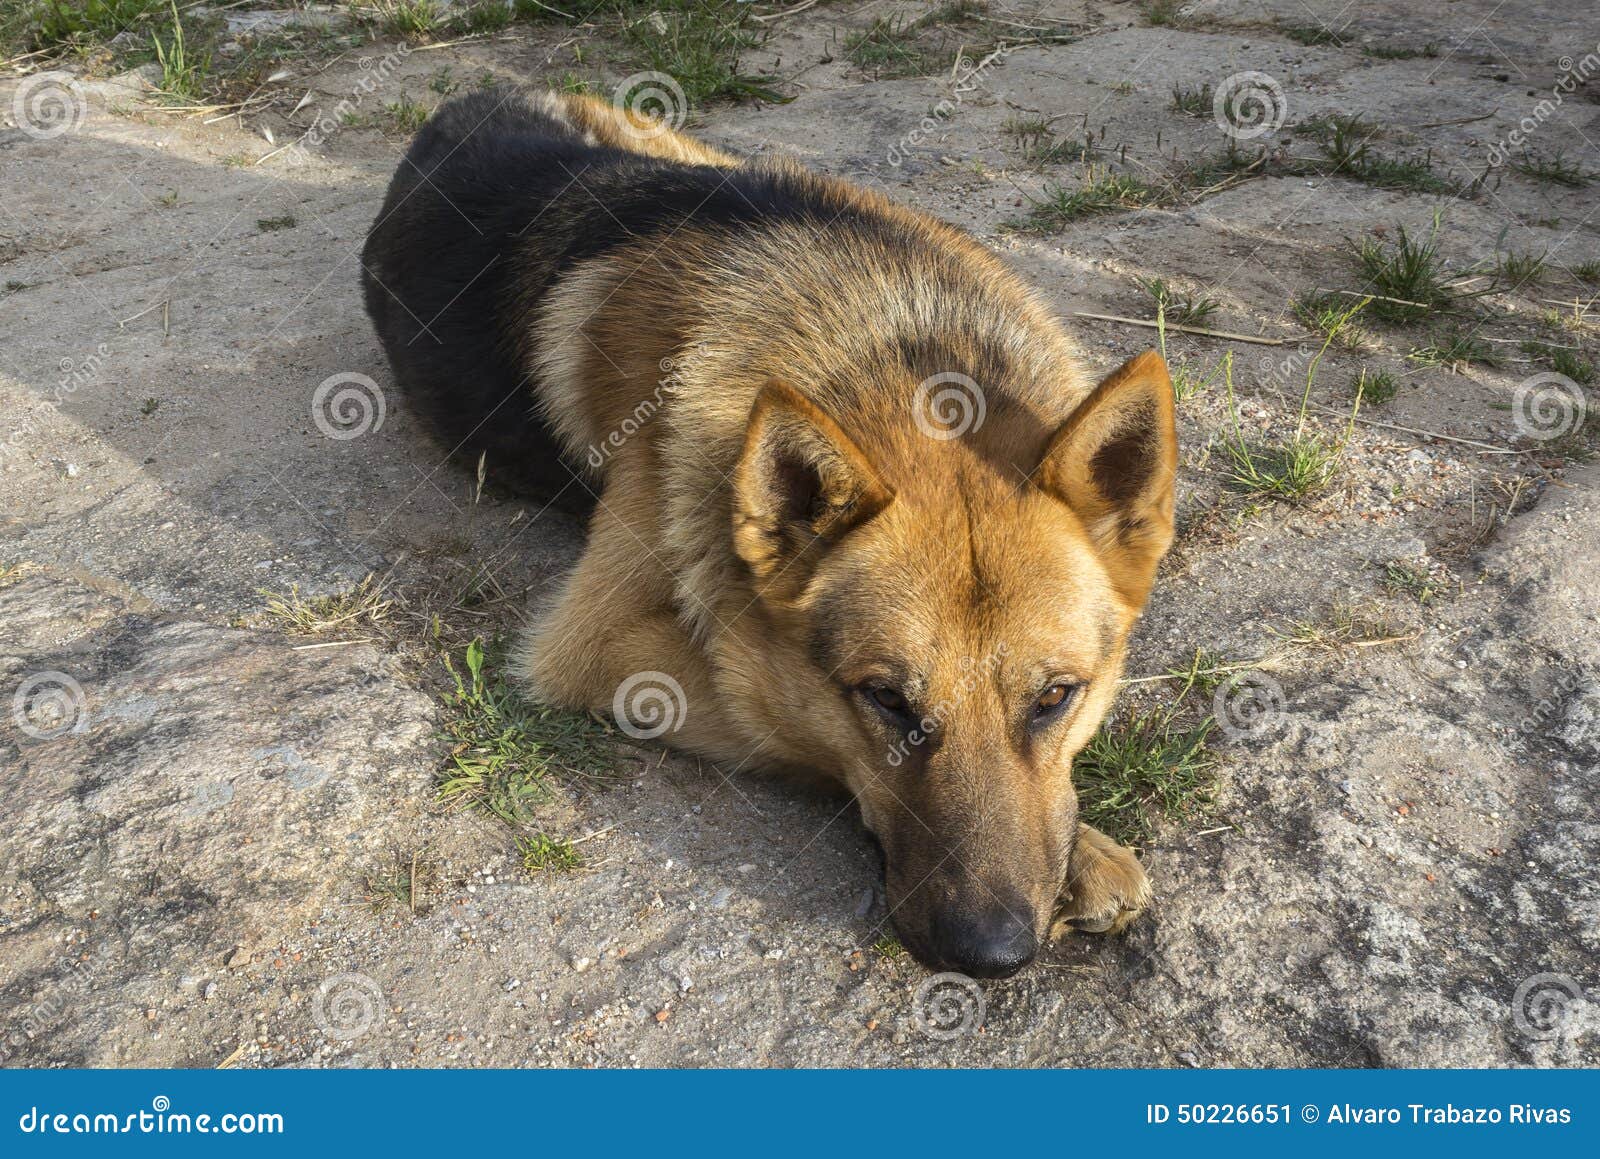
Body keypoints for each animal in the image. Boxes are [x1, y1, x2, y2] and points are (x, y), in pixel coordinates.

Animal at [368, 92, 1184, 979]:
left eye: (1054, 697)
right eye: (886, 700)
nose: (989, 954)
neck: (897, 346)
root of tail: (463, 104)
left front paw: (1082, 848)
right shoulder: (596, 648)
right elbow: (776, 710)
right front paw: (1086, 851)